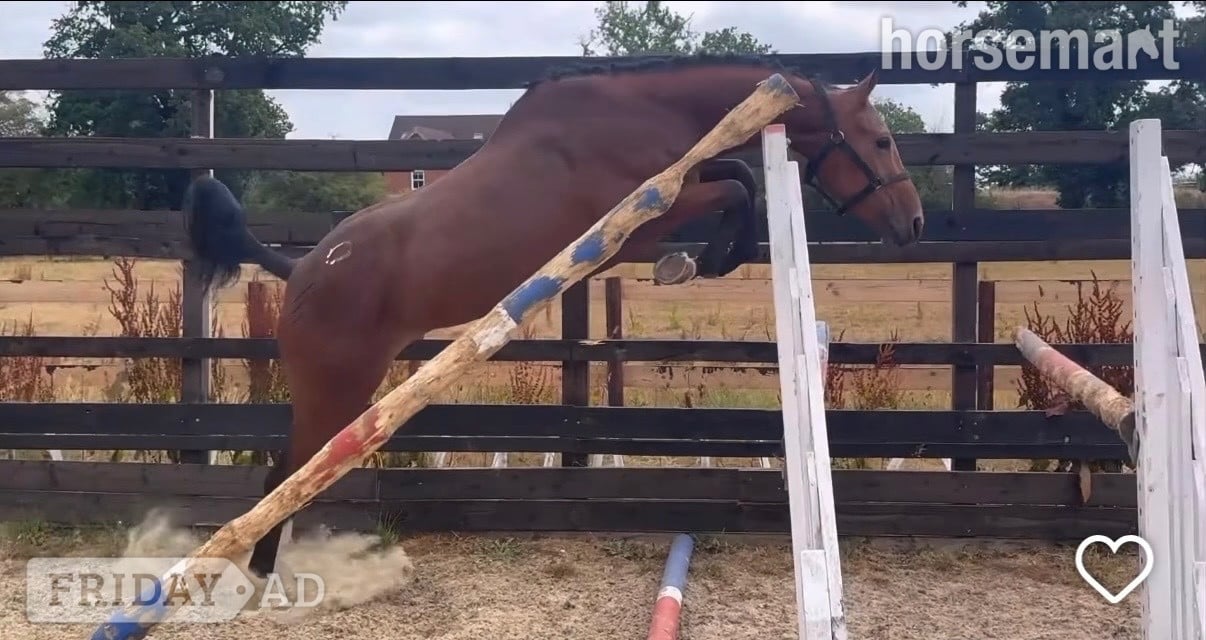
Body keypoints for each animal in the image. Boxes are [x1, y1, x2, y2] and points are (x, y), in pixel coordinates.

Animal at [181, 54, 925, 579]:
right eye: (882, 141)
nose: (913, 224)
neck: (645, 112)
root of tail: (301, 271)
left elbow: (738, 179)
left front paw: (707, 258)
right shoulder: (644, 219)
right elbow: (739, 187)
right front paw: (703, 261)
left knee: (289, 478)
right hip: (336, 388)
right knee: (282, 479)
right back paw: (264, 580)